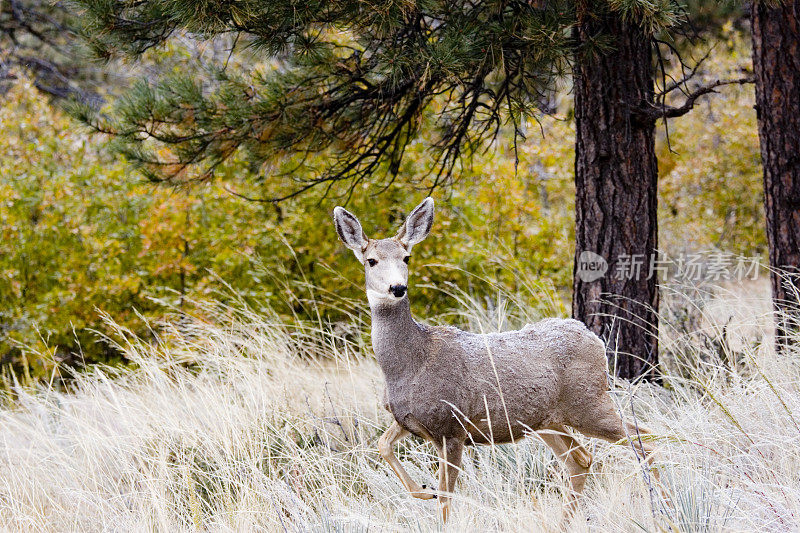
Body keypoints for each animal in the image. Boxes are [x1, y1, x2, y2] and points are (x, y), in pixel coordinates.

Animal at [332, 195, 656, 520]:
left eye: (407, 258)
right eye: (371, 261)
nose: (397, 287)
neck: (409, 365)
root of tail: (594, 338)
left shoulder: (452, 425)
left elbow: (446, 498)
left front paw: (433, 497)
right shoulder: (408, 419)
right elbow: (382, 444)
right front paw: (423, 490)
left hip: (589, 402)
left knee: (646, 440)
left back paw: (659, 505)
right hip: (547, 420)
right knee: (581, 459)